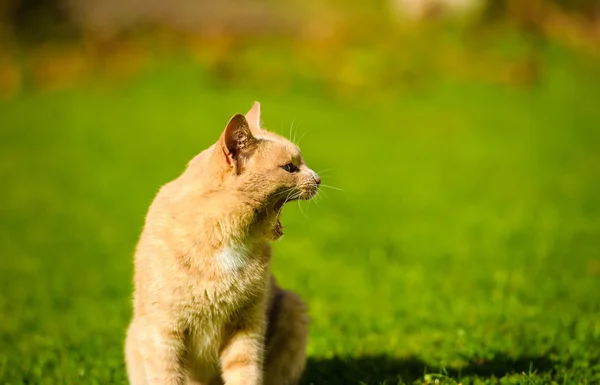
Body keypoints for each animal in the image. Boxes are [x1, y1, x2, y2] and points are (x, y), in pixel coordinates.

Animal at [125, 102, 322, 384]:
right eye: (289, 168)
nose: (318, 179)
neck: (226, 237)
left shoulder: (246, 328)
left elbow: (245, 374)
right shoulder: (162, 332)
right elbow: (167, 376)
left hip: (292, 306)